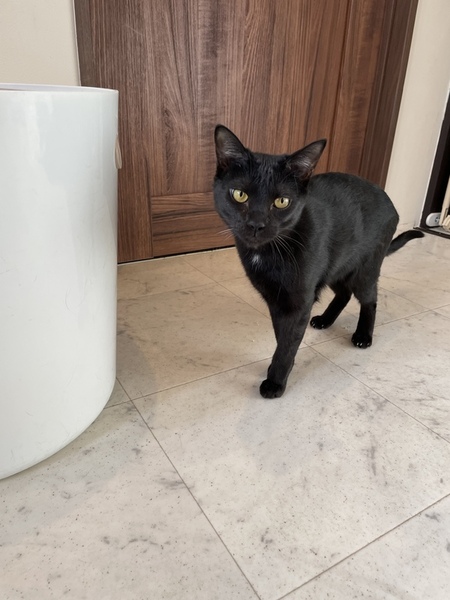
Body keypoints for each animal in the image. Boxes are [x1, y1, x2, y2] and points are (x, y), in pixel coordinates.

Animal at [213, 125, 424, 399]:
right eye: (240, 195)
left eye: (281, 201)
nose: (256, 224)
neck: (269, 251)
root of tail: (389, 199)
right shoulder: (276, 299)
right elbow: (282, 336)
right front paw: (279, 367)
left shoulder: (298, 300)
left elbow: (288, 342)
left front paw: (276, 381)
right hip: (336, 267)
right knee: (344, 293)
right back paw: (325, 319)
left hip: (363, 269)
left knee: (370, 299)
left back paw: (363, 336)